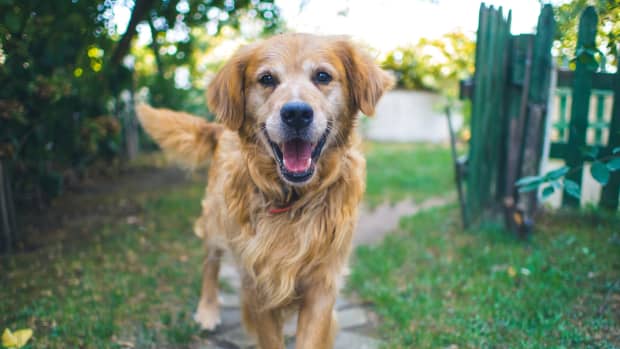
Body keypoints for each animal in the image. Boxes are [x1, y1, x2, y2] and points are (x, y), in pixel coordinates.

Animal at [136, 33, 392, 348]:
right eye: (267, 79)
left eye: (322, 76)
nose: (296, 113)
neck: (294, 199)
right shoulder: (258, 282)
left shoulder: (322, 283)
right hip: (216, 221)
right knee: (210, 263)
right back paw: (208, 310)